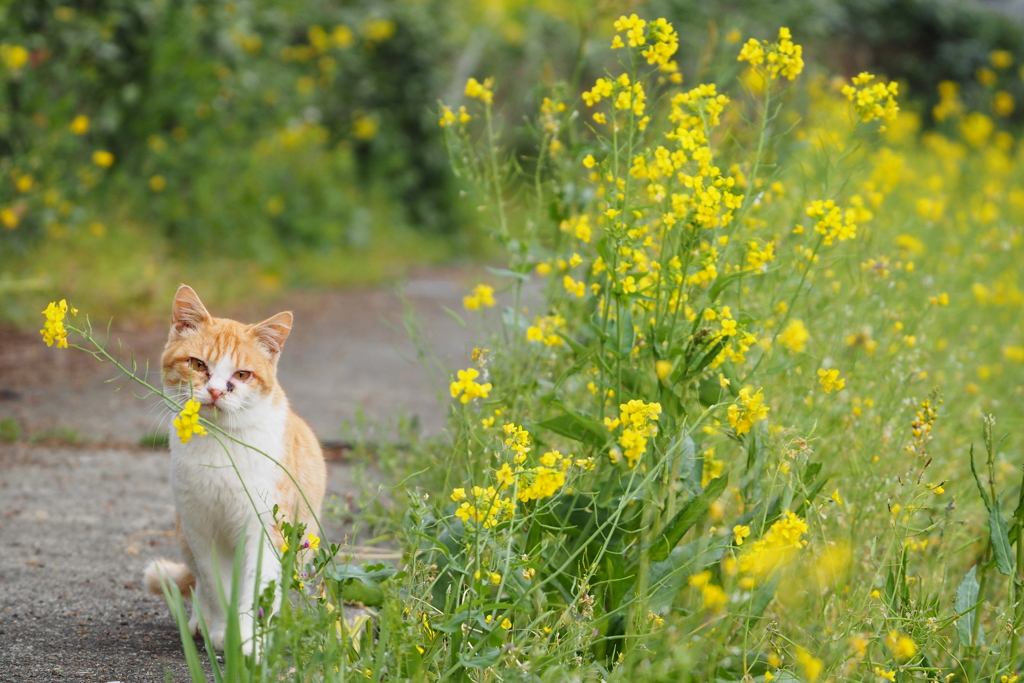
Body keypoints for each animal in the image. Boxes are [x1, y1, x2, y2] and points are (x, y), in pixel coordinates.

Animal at [142, 284, 325, 655]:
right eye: (197, 364)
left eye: (242, 375)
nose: (215, 391)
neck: (220, 446)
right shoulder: (201, 530)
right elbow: (215, 588)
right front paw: (220, 632)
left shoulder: (264, 528)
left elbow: (256, 590)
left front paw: (250, 642)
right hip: (184, 535)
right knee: (198, 584)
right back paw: (199, 623)